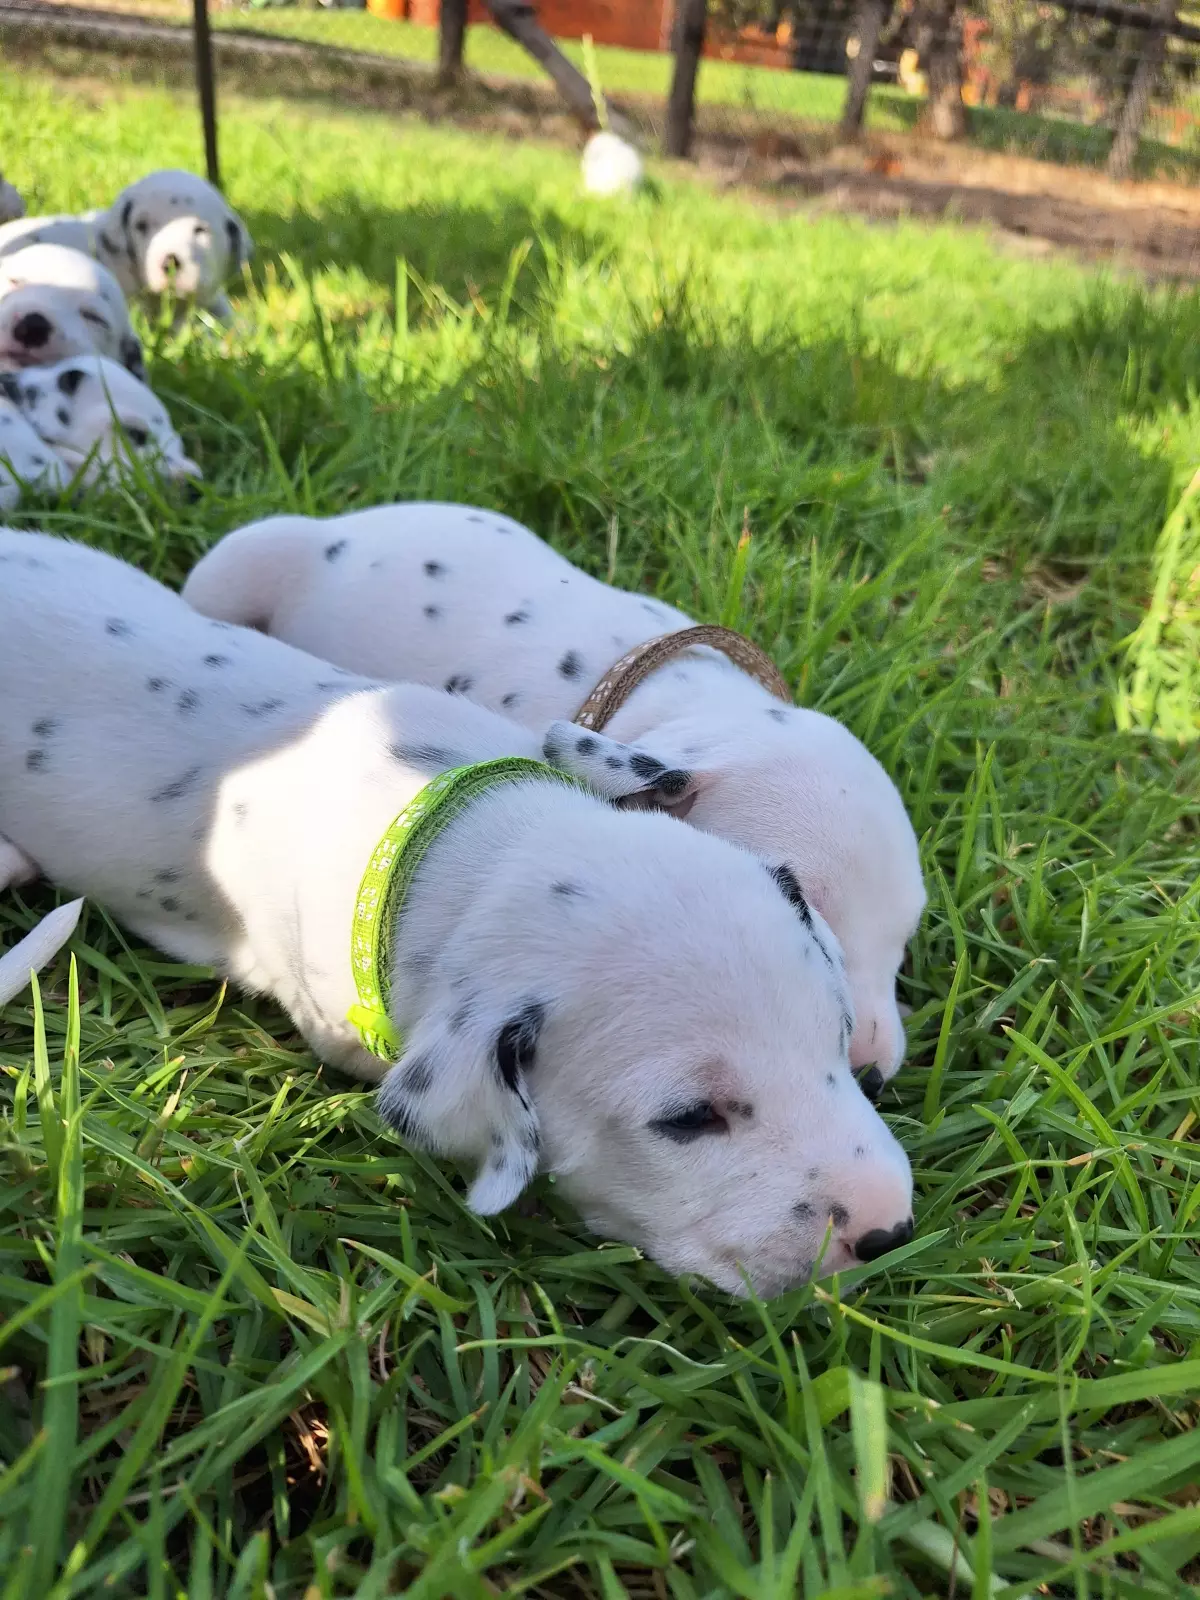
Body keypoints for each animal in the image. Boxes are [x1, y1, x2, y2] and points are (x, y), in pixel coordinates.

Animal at [183, 504, 927, 1087]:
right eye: (803, 900)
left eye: (906, 934)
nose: (872, 1074)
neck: (675, 699)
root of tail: (341, 526)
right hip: (237, 563)